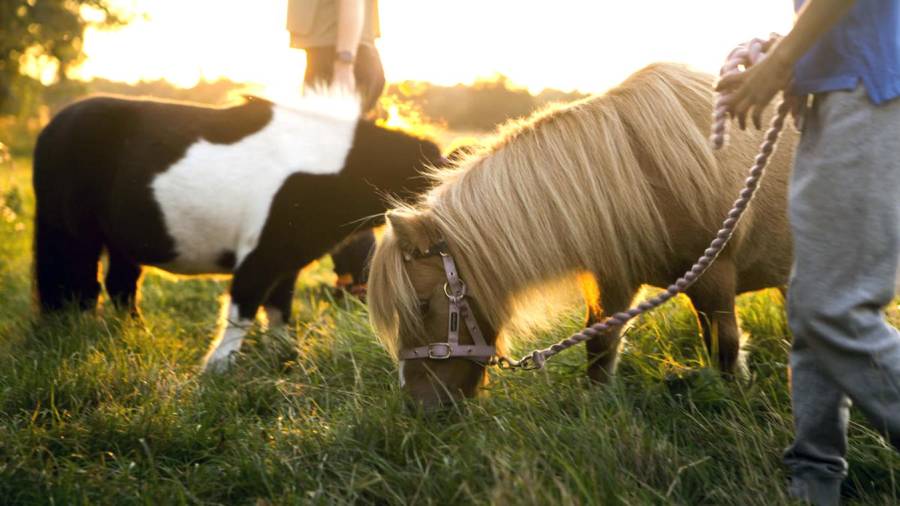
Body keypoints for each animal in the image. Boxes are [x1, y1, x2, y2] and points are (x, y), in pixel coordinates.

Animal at [33, 91, 442, 370]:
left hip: (121, 240)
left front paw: (284, 354)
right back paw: (77, 335)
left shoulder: (287, 258)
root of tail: (54, 125)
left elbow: (278, 308)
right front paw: (219, 366)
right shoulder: (260, 254)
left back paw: (136, 333)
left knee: (120, 285)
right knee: (77, 287)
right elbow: (242, 306)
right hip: (71, 233)